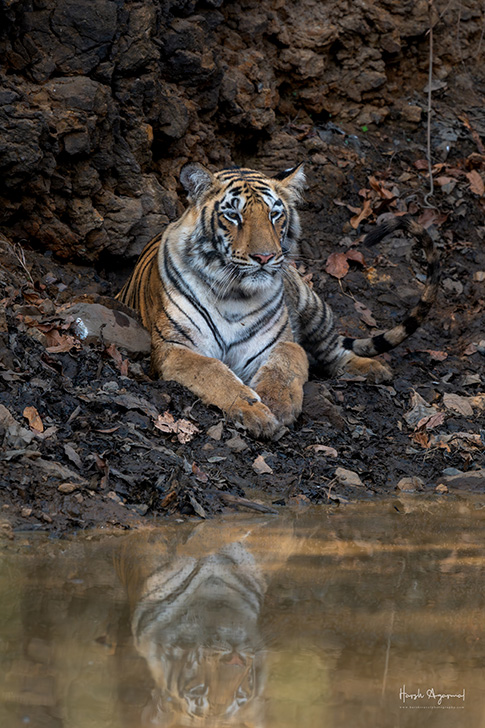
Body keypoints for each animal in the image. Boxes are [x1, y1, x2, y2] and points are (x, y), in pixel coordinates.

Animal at [116, 163, 439, 438]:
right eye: (233, 215)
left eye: (274, 214)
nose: (265, 257)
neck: (233, 295)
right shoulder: (173, 347)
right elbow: (212, 371)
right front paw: (256, 413)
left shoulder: (279, 342)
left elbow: (286, 362)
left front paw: (276, 404)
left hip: (312, 304)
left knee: (334, 350)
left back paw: (373, 369)